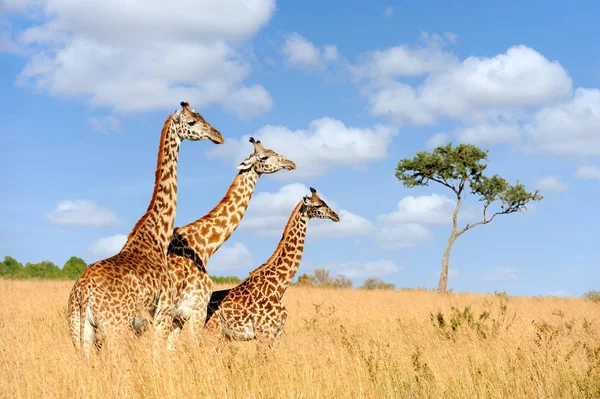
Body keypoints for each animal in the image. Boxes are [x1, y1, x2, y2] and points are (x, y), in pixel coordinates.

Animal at [66, 101, 225, 360]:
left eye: (203, 116)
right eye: (192, 122)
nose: (218, 136)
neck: (157, 235)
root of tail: (83, 293)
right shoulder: (162, 310)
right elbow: (158, 355)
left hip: (79, 330)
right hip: (115, 328)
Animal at [204, 188, 340, 346]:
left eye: (324, 202)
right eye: (318, 205)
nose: (336, 216)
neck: (279, 285)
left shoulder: (277, 334)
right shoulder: (265, 333)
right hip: (211, 332)